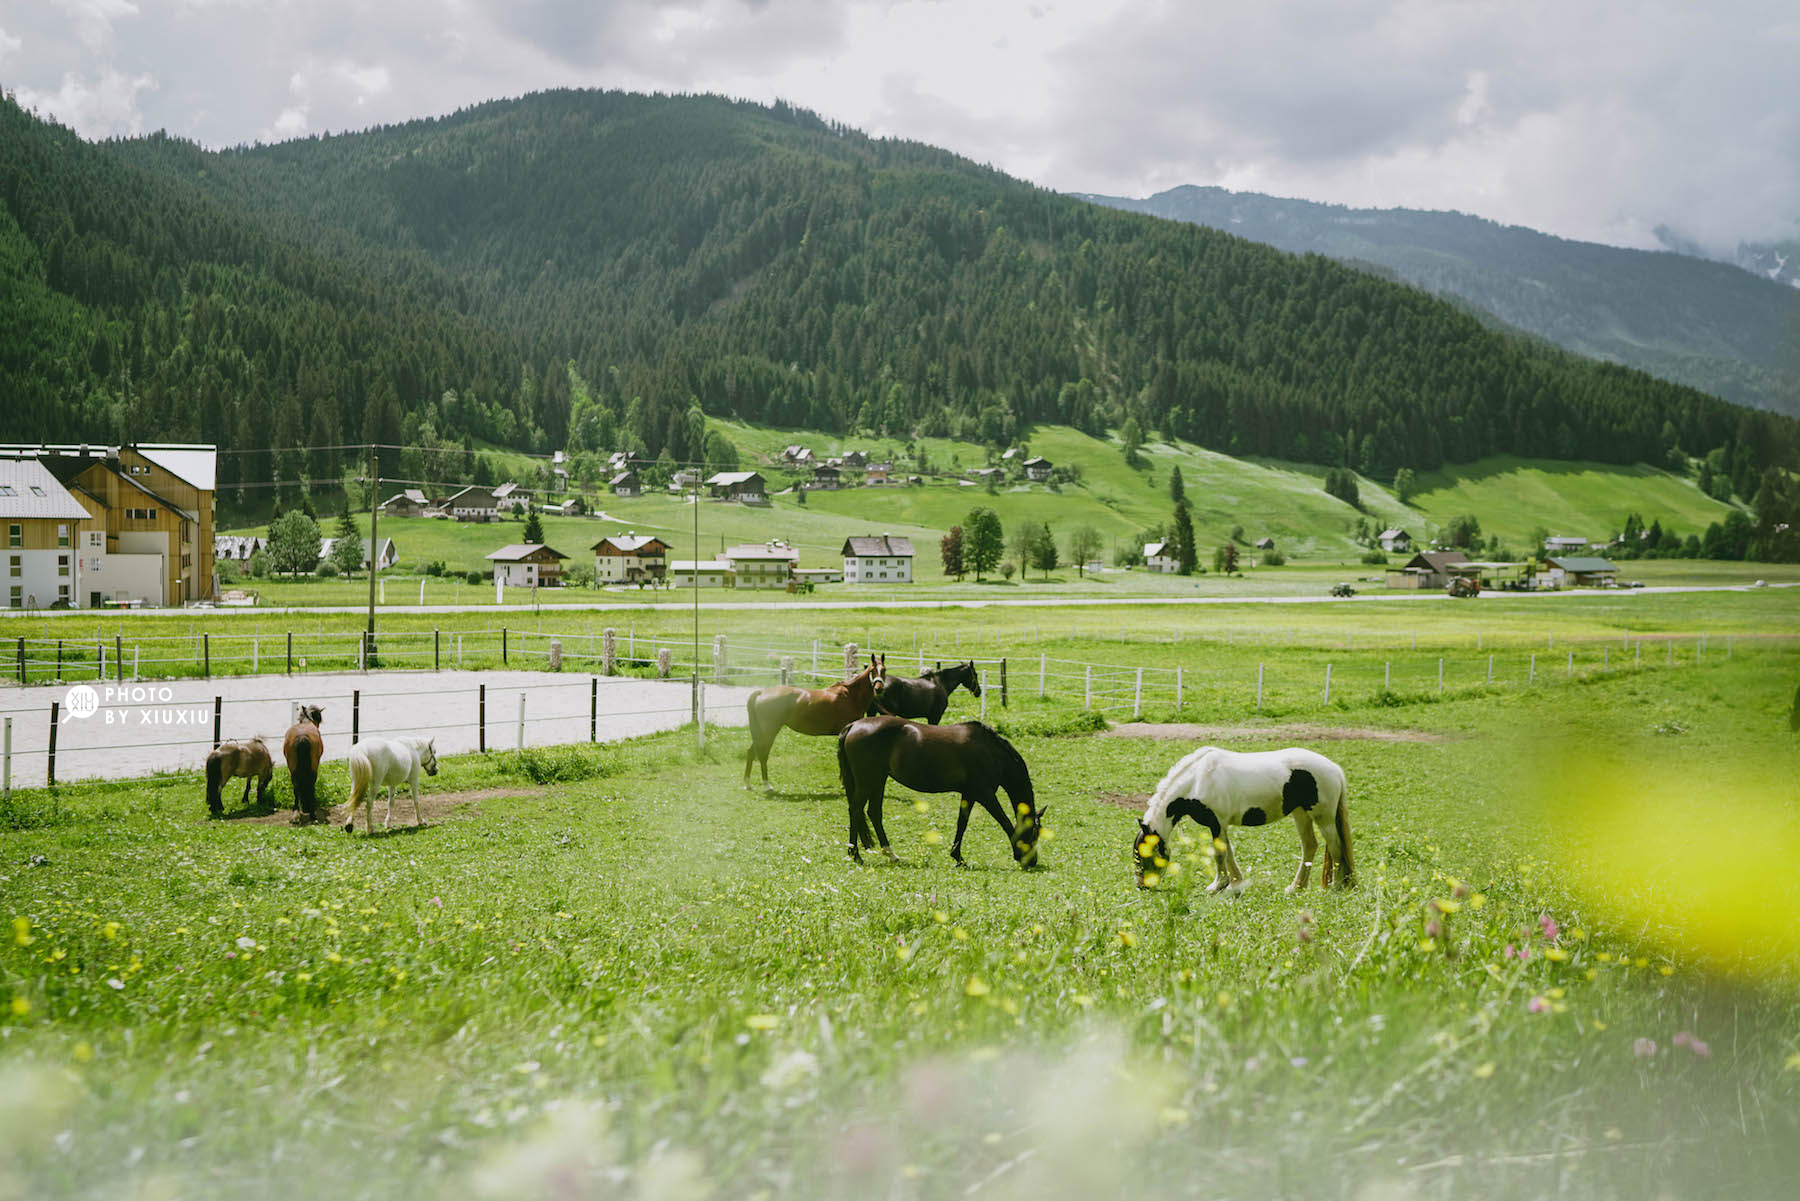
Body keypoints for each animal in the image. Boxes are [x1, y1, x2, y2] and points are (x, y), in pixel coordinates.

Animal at [741, 662, 882, 792]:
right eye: (873, 671)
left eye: (884, 670)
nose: (880, 689)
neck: (851, 696)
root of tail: (762, 692)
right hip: (769, 732)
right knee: (762, 754)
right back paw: (767, 785)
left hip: (761, 733)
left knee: (751, 752)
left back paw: (748, 784)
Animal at [835, 720, 1051, 867]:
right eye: (1034, 833)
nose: (1032, 861)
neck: (990, 752)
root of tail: (853, 726)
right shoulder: (985, 795)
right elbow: (1004, 822)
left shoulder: (969, 794)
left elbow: (962, 823)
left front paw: (958, 857)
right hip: (869, 781)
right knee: (856, 810)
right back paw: (856, 855)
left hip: (878, 780)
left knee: (873, 813)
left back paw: (890, 854)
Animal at [1130, 745, 1353, 896]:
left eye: (1144, 854)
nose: (1141, 885)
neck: (1197, 779)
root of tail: (1335, 769)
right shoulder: (1221, 825)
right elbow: (1228, 853)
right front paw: (1235, 883)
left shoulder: (1217, 823)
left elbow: (1220, 854)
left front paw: (1217, 885)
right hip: (1301, 814)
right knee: (1309, 846)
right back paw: (1296, 887)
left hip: (1323, 818)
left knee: (1336, 847)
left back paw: (1336, 886)